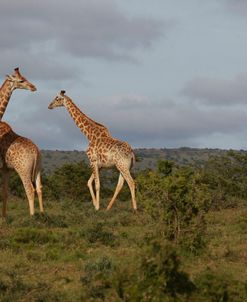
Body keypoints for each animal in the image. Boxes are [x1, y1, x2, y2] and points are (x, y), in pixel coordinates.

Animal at [0, 68, 43, 217]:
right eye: (21, 80)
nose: (33, 87)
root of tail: (36, 153)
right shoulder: (5, 169)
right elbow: (5, 193)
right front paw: (4, 218)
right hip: (37, 169)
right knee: (39, 189)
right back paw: (42, 215)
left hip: (23, 169)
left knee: (30, 190)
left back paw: (32, 217)